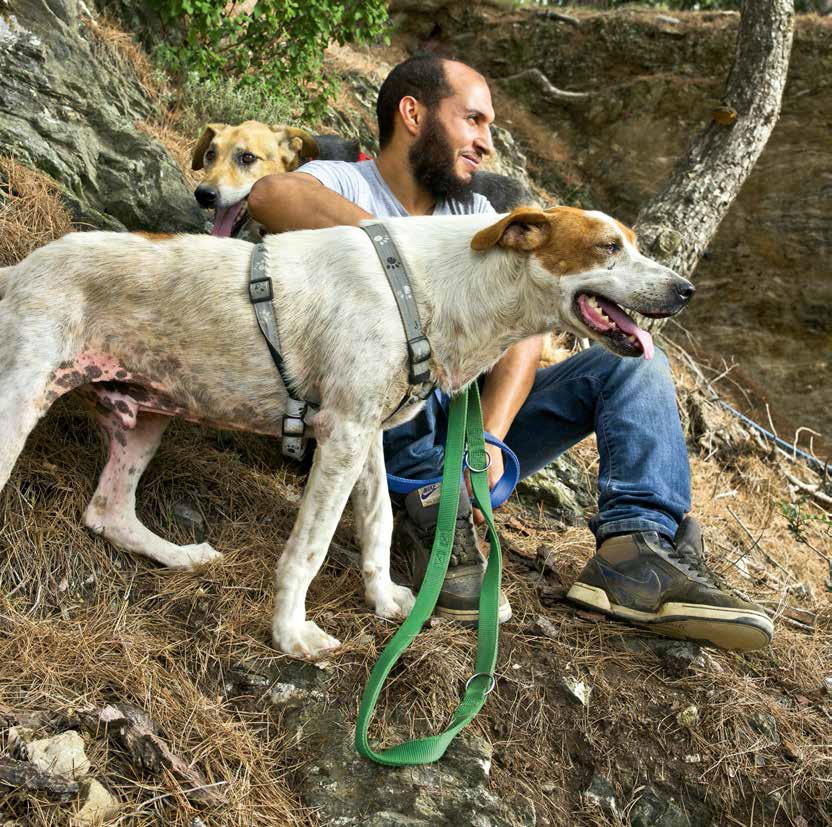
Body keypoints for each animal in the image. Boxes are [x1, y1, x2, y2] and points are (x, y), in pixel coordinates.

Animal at [0, 209, 692, 660]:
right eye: (607, 246)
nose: (685, 289)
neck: (426, 286)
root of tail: (17, 269)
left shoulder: (366, 439)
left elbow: (380, 523)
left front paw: (385, 600)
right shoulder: (341, 435)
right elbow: (308, 549)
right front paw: (290, 635)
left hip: (147, 414)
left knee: (107, 511)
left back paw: (179, 554)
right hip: (20, 399)